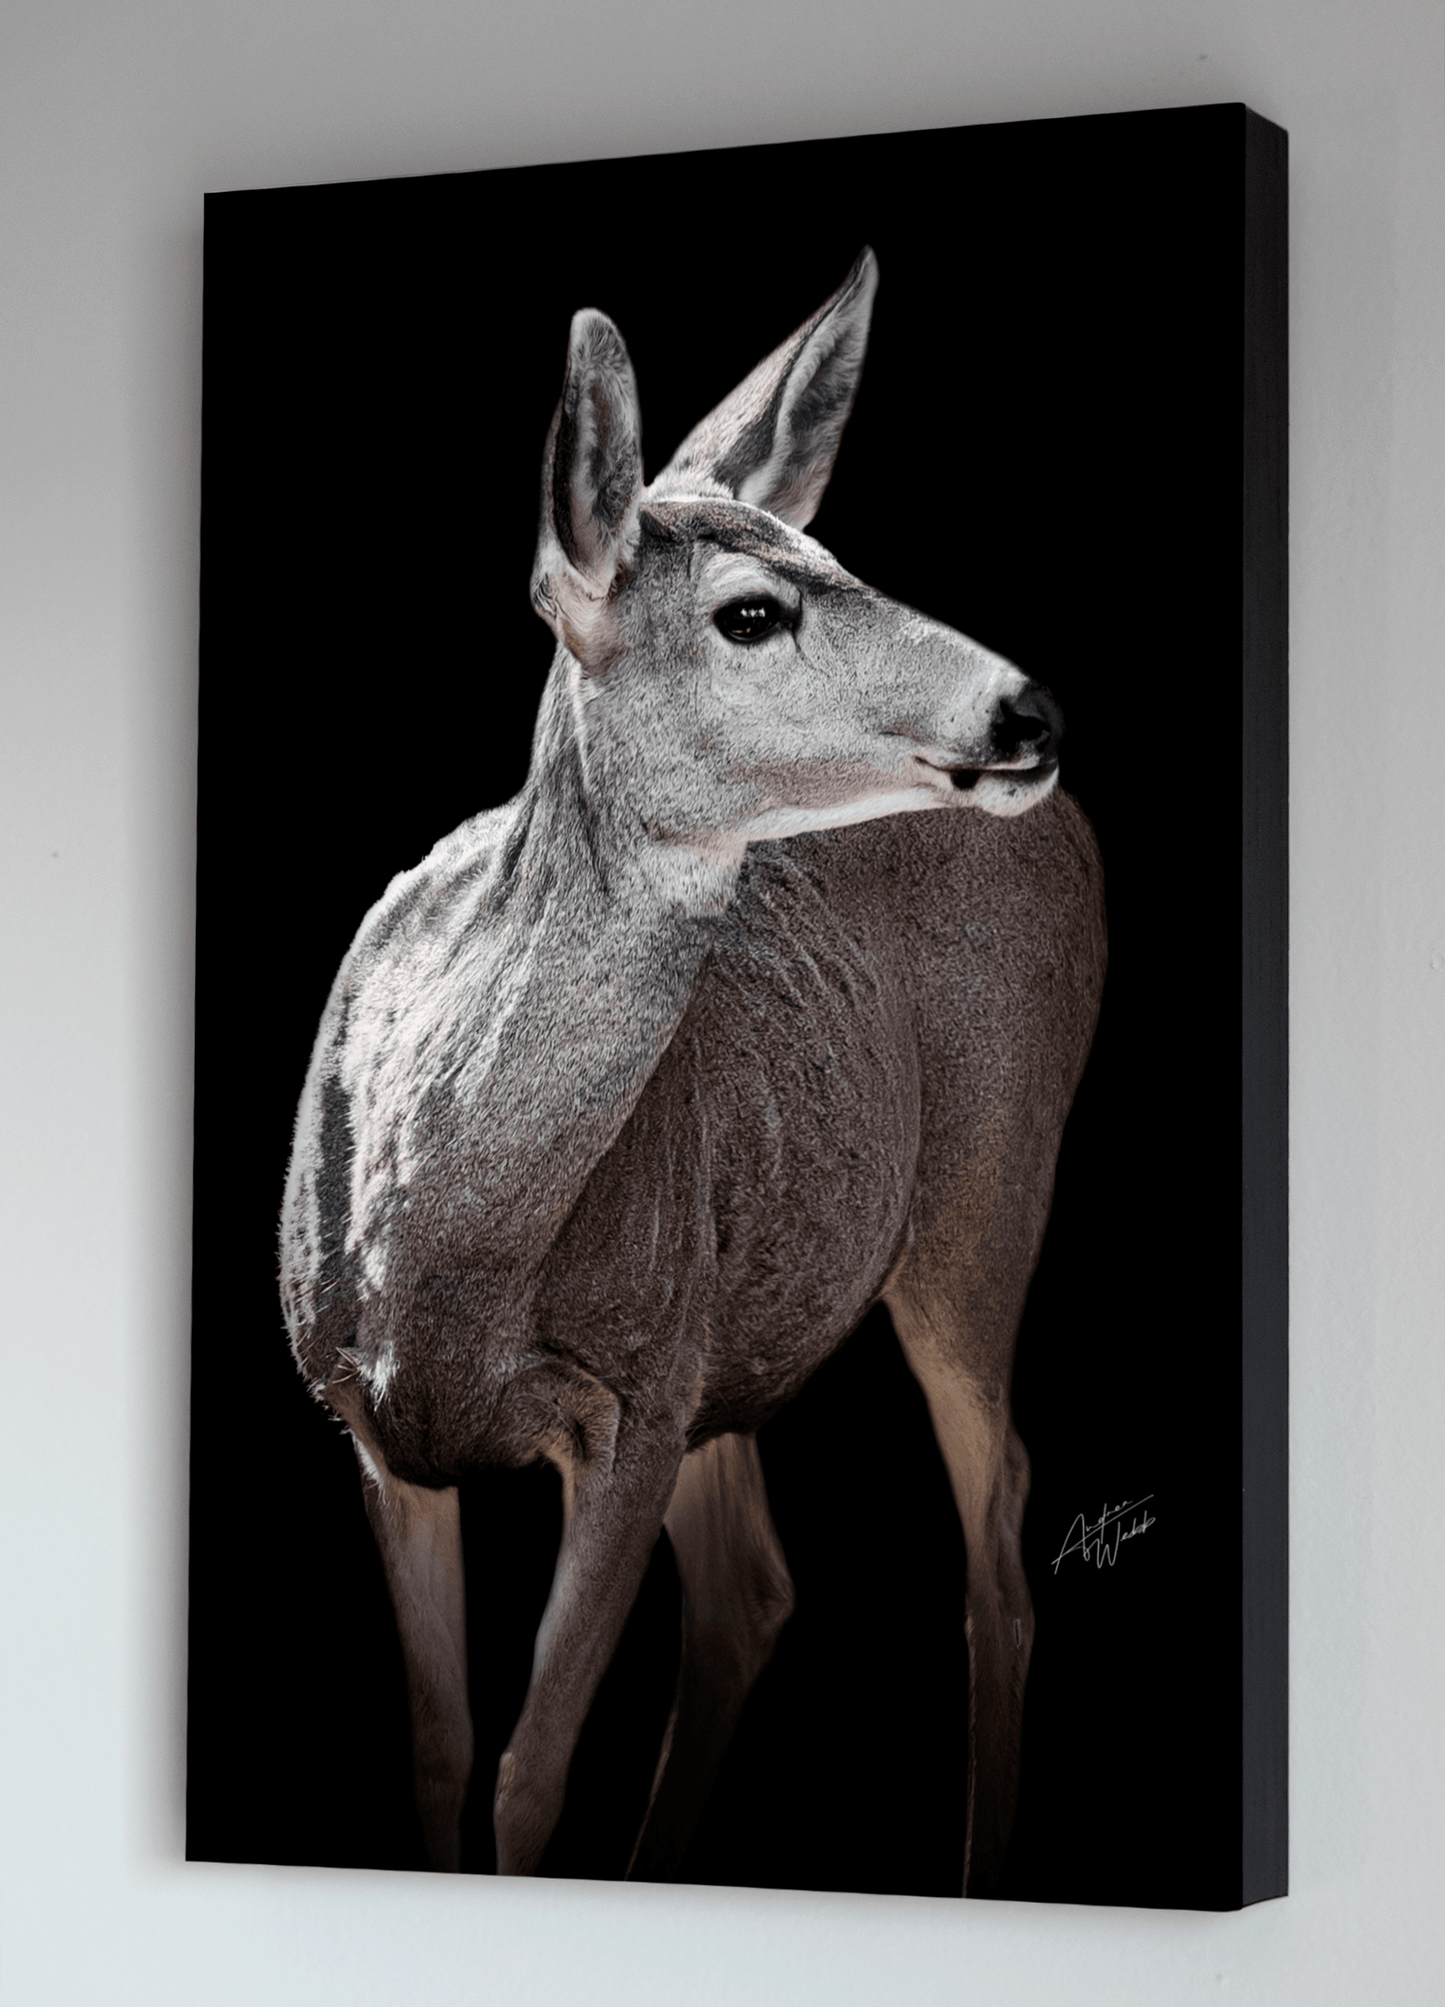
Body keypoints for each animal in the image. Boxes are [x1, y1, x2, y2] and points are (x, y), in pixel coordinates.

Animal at [278, 250, 1107, 1894]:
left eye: (835, 554)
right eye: (751, 610)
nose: (1026, 711)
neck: (449, 1253)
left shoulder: (633, 1400)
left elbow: (528, 1776)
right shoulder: (368, 1424)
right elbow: (441, 1756)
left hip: (986, 1186)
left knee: (995, 1535)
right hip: (740, 1311)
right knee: (754, 1585)